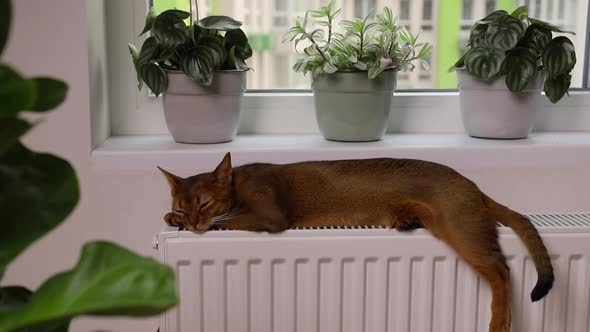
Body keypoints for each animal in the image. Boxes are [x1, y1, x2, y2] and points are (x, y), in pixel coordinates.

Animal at [158, 152, 556, 332]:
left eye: (204, 205)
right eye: (181, 205)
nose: (191, 222)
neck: (238, 181)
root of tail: (472, 184)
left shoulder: (270, 216)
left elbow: (230, 220)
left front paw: (208, 225)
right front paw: (170, 220)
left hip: (459, 227)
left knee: (501, 270)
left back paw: (499, 322)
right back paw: (405, 219)